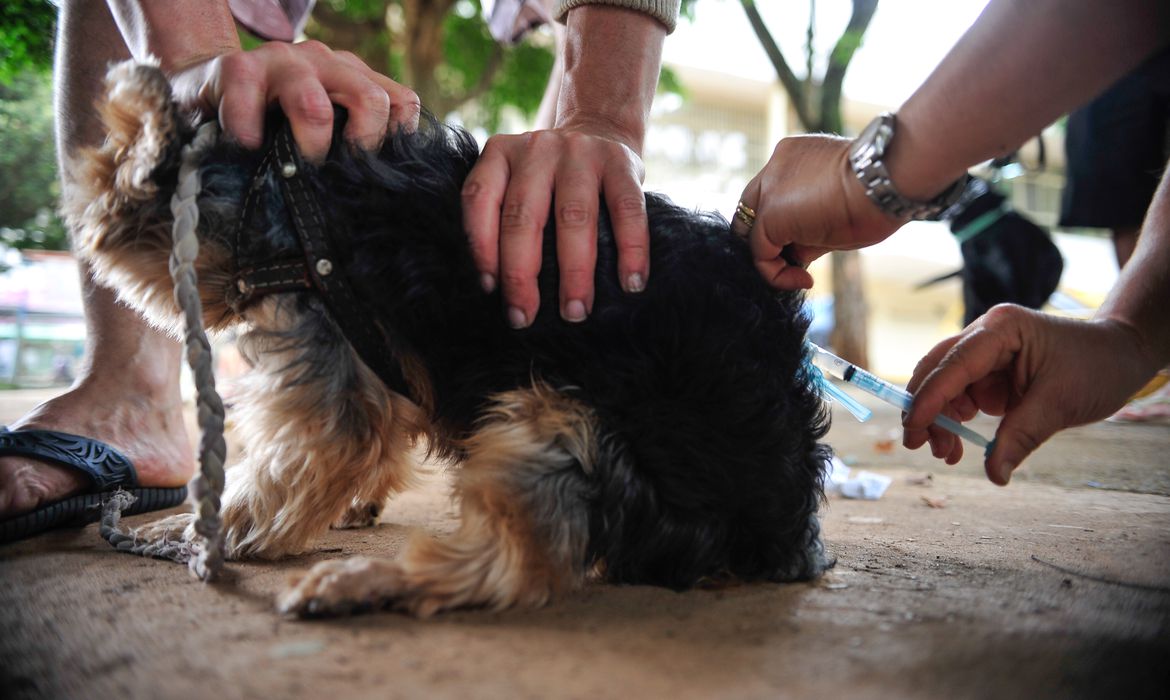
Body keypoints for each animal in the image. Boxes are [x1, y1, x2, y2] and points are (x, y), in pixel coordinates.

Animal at [66, 61, 833, 618]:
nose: (73, 216)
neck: (277, 190)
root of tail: (788, 532)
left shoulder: (335, 367)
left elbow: (290, 468)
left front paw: (196, 530)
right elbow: (376, 439)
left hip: (566, 424)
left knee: (513, 565)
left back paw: (362, 586)